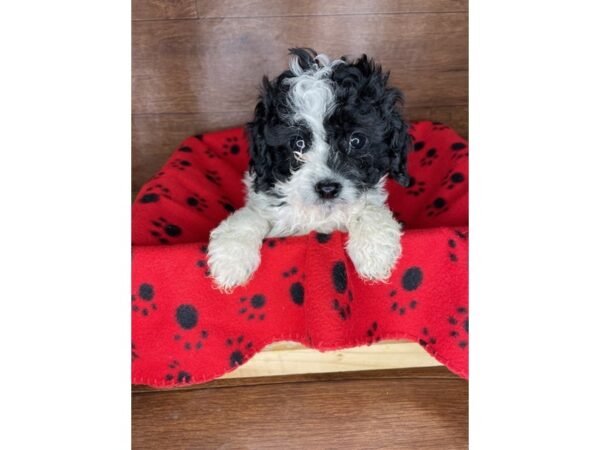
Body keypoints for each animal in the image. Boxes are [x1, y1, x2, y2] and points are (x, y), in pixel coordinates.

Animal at [209, 47, 410, 290]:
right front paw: (230, 260)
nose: (327, 188)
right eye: (298, 143)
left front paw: (375, 252)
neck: (320, 215)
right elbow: (250, 216)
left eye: (356, 140)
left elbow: (368, 209)